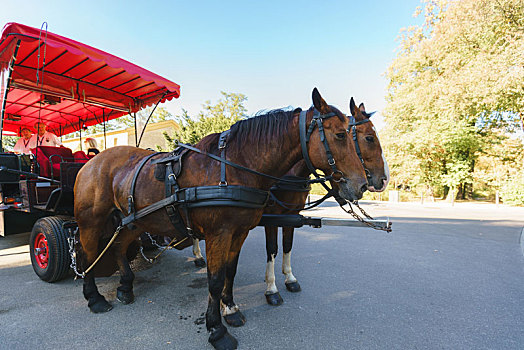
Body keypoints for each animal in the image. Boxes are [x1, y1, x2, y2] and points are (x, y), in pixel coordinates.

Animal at [75, 89, 372, 348]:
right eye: (340, 135)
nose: (363, 184)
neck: (233, 168)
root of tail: (93, 161)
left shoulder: (239, 232)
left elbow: (230, 271)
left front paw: (230, 308)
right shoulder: (219, 234)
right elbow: (215, 280)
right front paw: (217, 329)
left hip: (135, 220)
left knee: (119, 244)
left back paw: (125, 285)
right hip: (91, 222)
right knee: (87, 255)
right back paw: (94, 297)